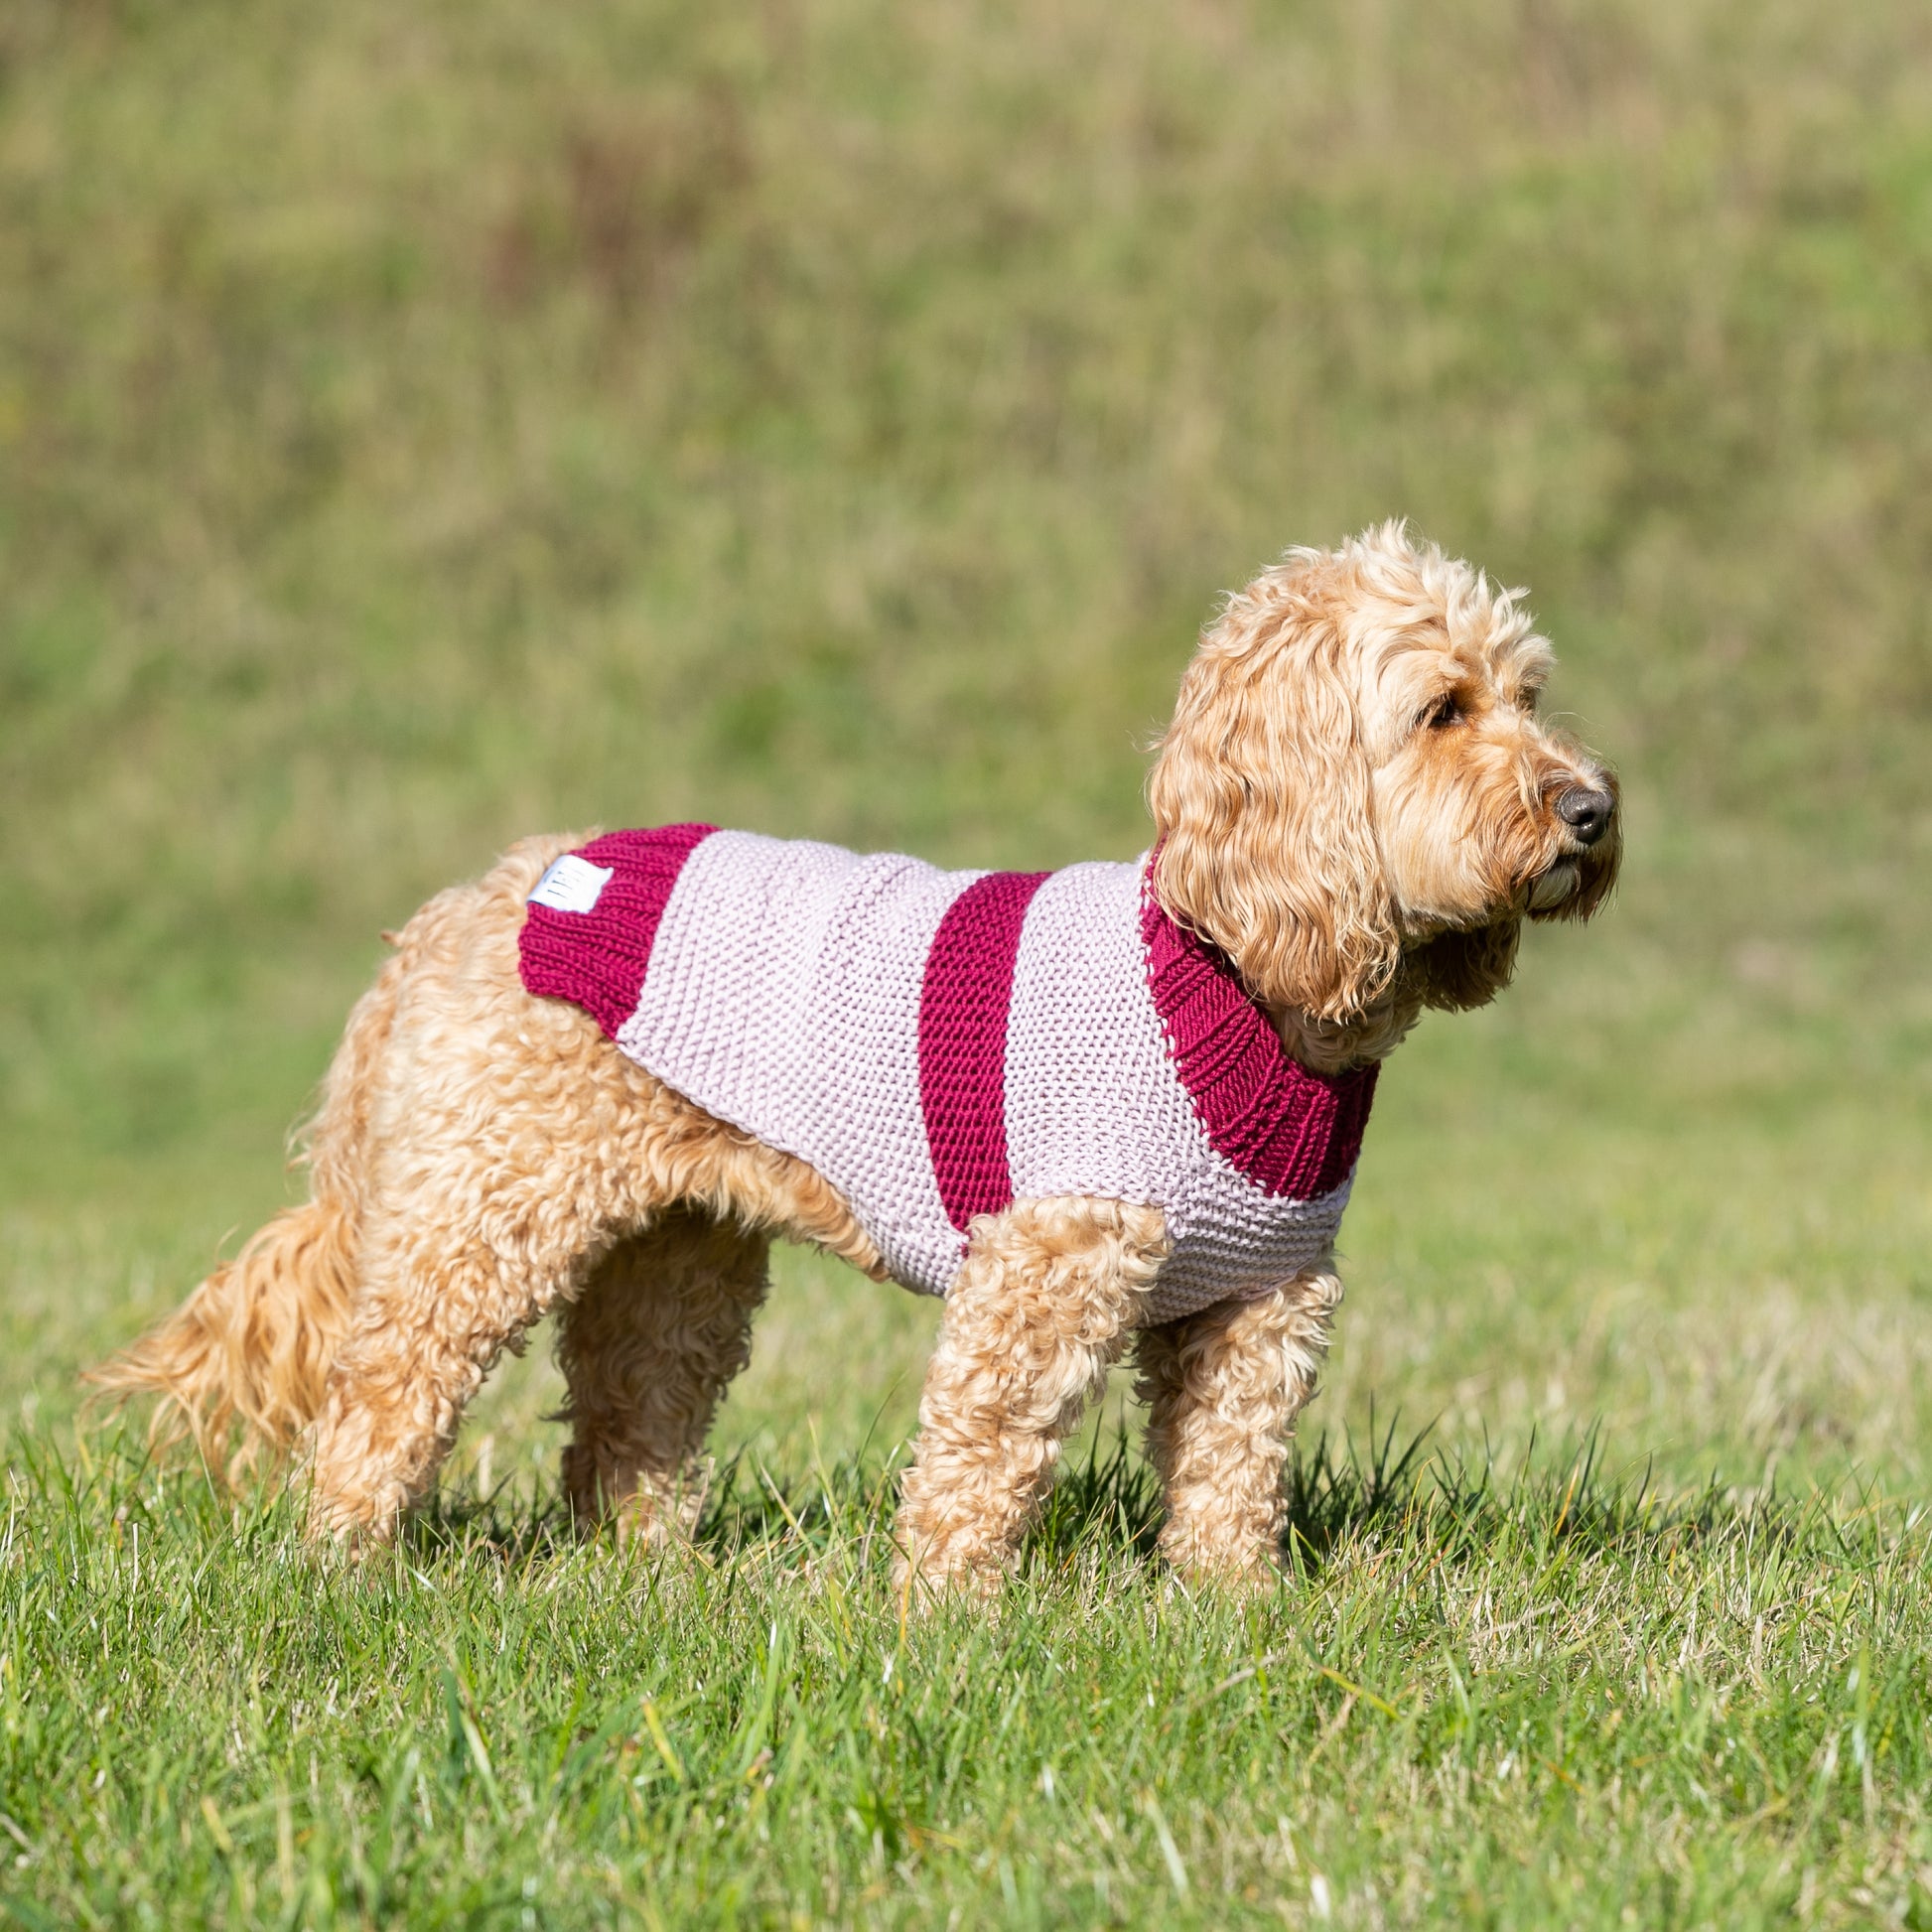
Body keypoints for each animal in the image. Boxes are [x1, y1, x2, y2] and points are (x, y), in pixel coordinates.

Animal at [97, 521, 1622, 1591]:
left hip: (677, 1256)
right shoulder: (1039, 1277)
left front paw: (1229, 1611)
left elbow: (1227, 1475)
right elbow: (978, 1459)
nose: (1593, 807)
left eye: (1530, 692)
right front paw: (947, 1622)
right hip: (479, 1219)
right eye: (1441, 709)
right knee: (383, 1395)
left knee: (622, 1426)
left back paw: (650, 1578)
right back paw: (343, 1565)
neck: (1230, 977)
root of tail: (466, 902)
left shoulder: (1258, 1302)